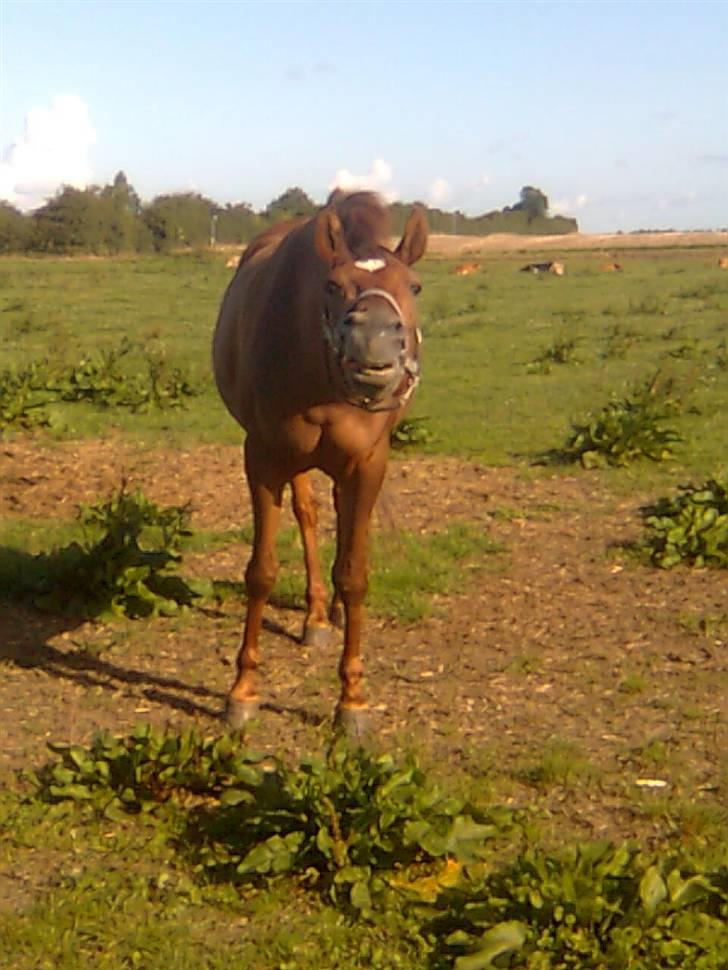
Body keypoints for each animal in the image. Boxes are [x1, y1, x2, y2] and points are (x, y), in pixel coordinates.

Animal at [212, 191, 426, 732]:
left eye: (413, 285)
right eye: (333, 286)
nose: (374, 344)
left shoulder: (367, 465)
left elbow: (353, 575)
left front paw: (353, 700)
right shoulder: (263, 458)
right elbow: (261, 572)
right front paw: (242, 691)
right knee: (307, 516)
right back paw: (314, 619)